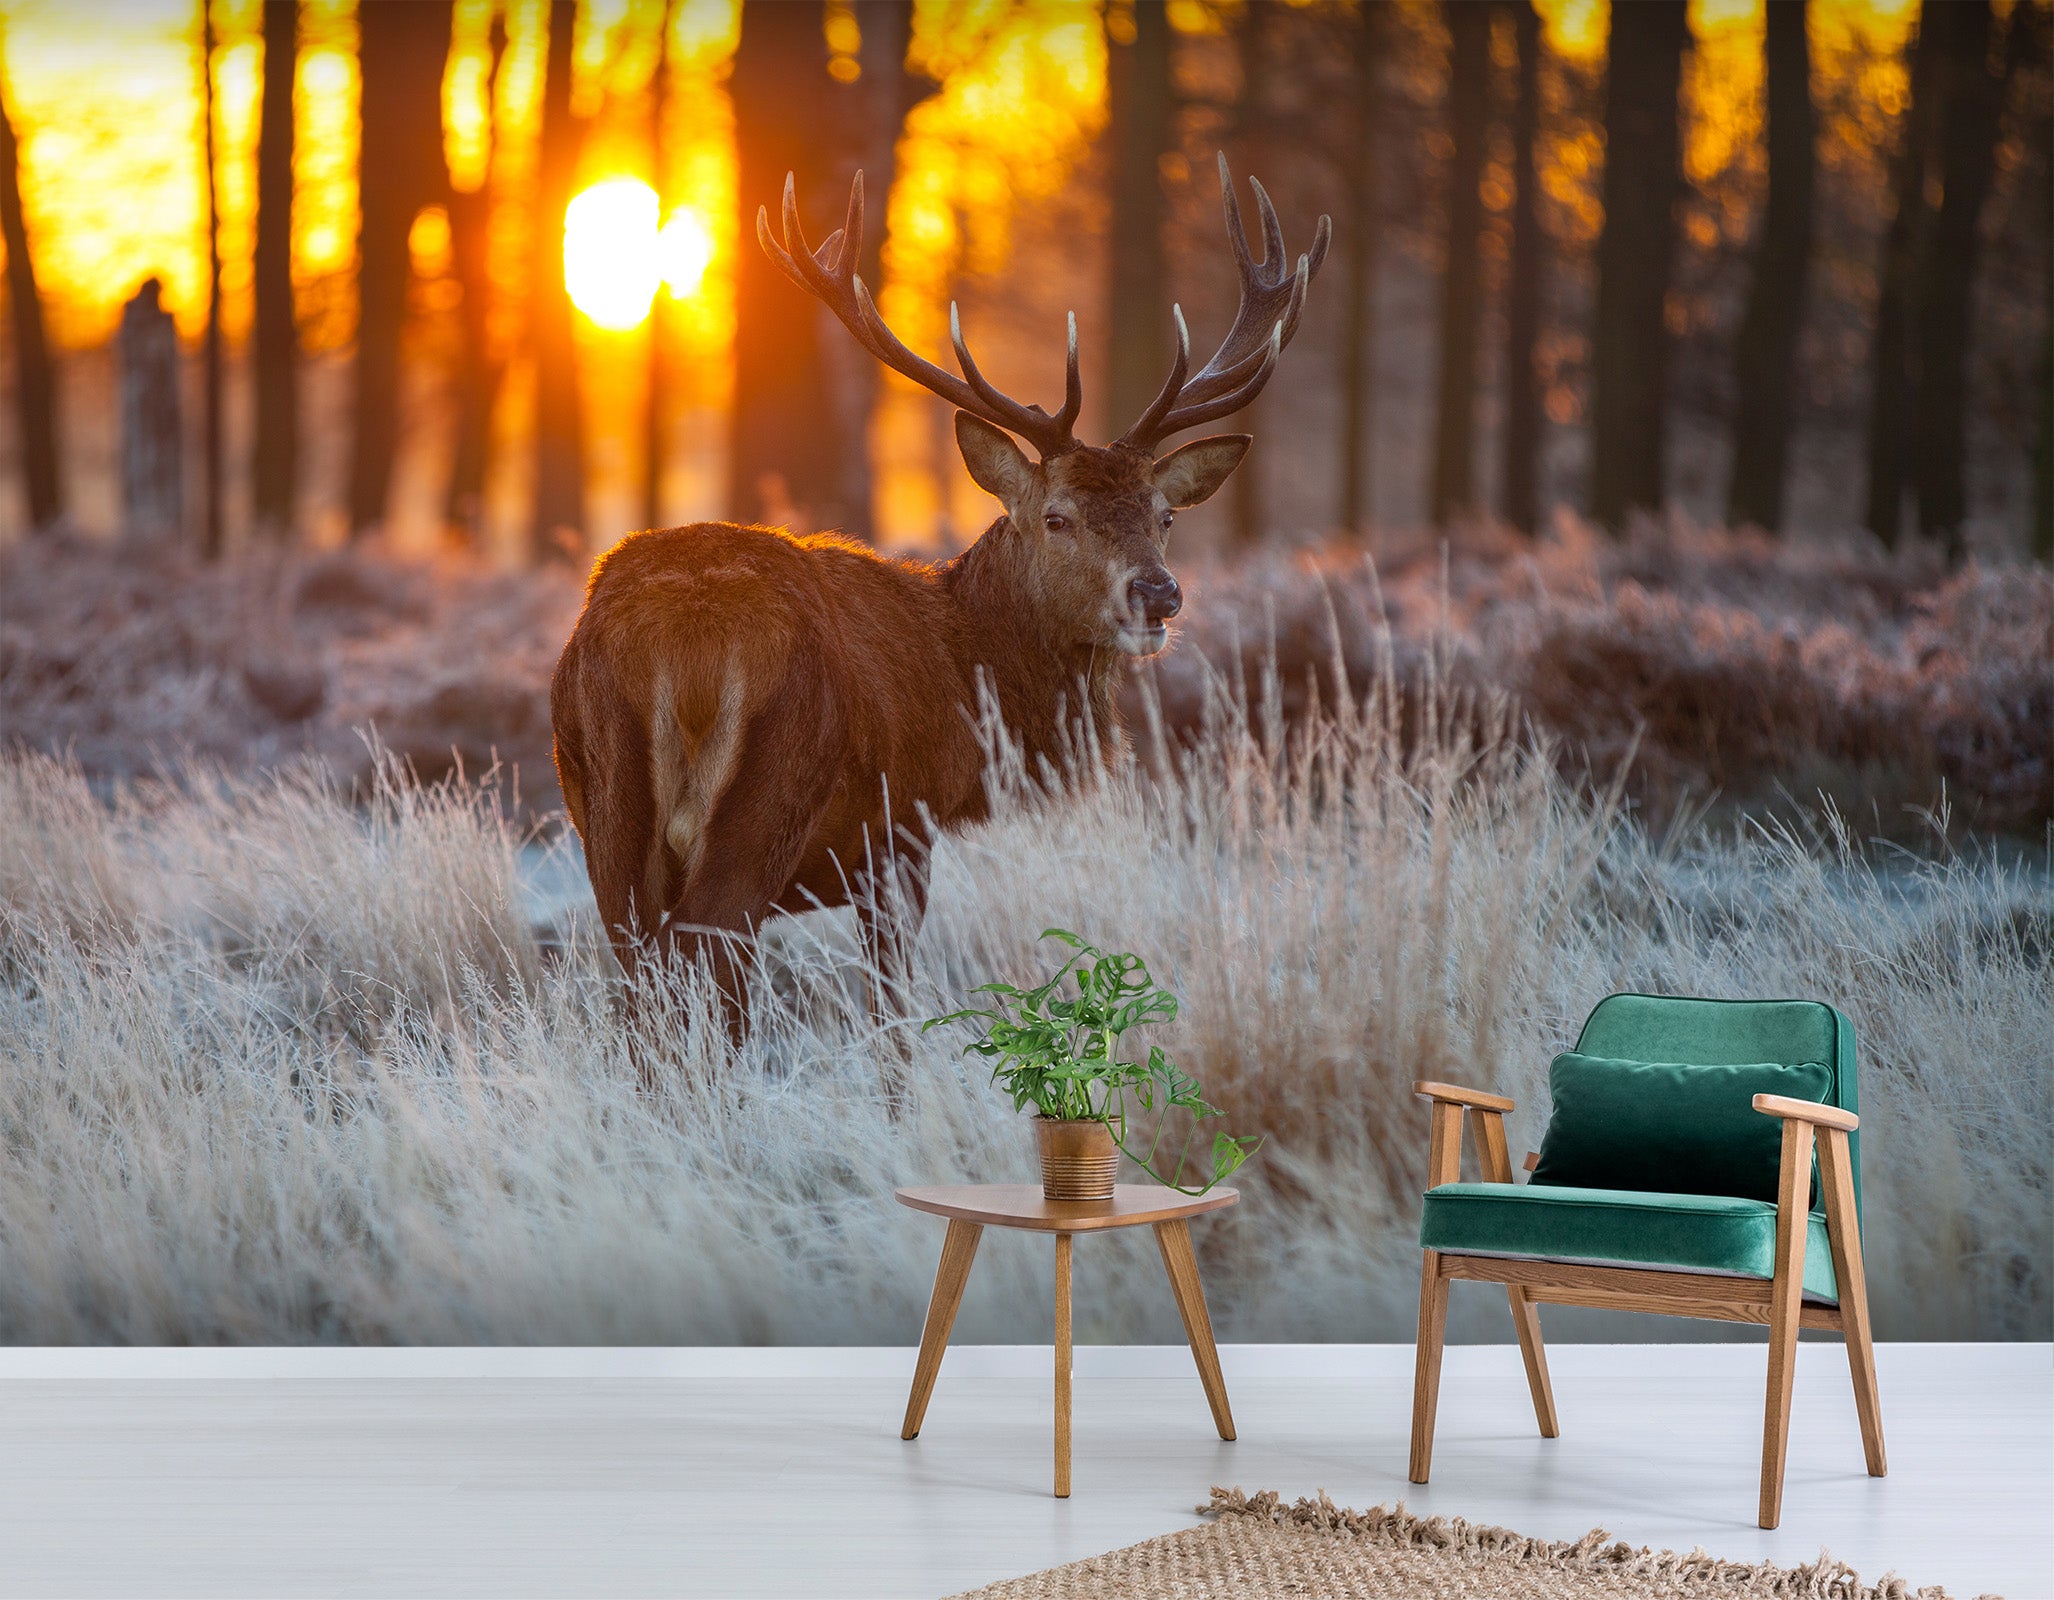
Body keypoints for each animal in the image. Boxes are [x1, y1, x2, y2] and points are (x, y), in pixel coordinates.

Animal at [550, 154, 1329, 1030]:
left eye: (1164, 515)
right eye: (1057, 517)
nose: (1158, 596)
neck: (967, 675)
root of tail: (682, 640)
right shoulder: (902, 832)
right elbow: (892, 1010)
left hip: (605, 806)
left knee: (637, 985)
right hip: (770, 793)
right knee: (710, 968)